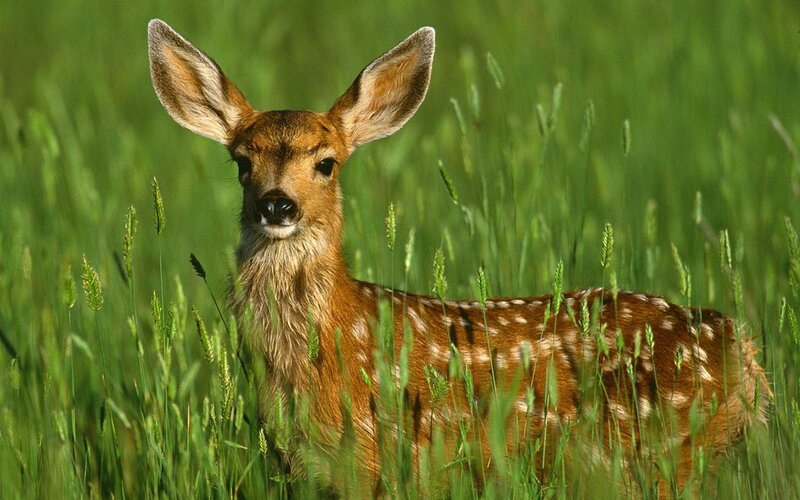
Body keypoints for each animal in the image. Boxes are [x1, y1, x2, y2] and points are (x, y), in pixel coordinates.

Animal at [147, 19, 770, 495]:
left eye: (326, 162)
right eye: (242, 162)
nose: (277, 204)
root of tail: (740, 347)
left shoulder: (378, 459)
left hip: (654, 450)